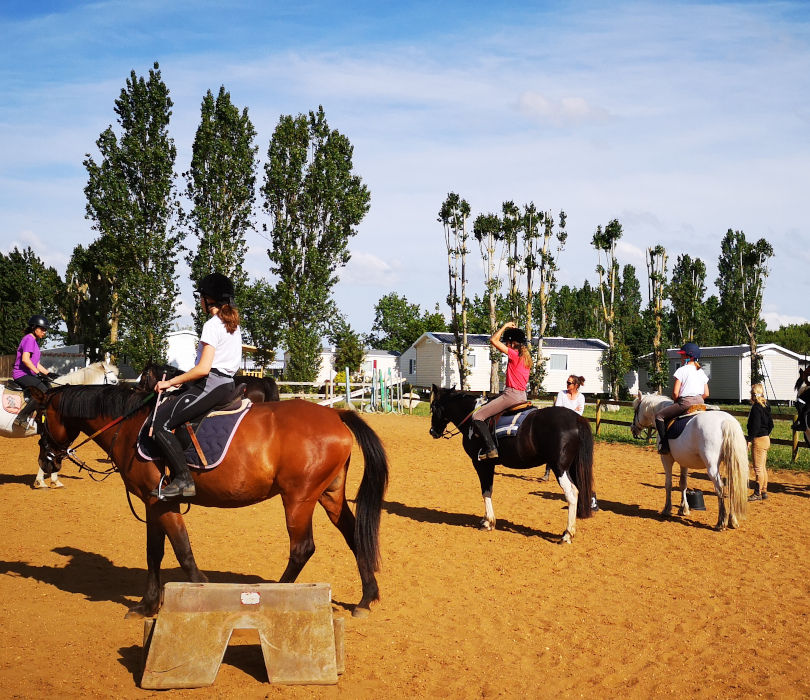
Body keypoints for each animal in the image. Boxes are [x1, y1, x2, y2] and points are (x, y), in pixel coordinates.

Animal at [33, 382, 392, 616]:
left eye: (38, 418)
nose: (46, 462)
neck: (132, 427)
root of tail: (336, 416)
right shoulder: (153, 503)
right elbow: (154, 554)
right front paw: (147, 605)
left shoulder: (164, 503)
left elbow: (183, 552)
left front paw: (199, 592)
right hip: (329, 496)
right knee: (354, 535)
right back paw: (367, 598)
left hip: (298, 499)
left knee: (302, 548)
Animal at [430, 386, 592, 544]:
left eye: (433, 406)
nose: (432, 432)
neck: (471, 417)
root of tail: (576, 417)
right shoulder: (490, 465)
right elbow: (489, 490)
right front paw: (486, 519)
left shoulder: (481, 464)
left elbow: (485, 491)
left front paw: (488, 522)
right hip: (570, 467)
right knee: (576, 492)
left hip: (559, 468)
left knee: (571, 494)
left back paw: (567, 535)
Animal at [628, 394, 748, 532]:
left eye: (635, 410)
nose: (632, 429)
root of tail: (725, 421)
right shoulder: (684, 462)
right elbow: (683, 484)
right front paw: (683, 508)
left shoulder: (666, 459)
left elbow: (668, 484)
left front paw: (667, 509)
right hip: (731, 464)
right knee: (733, 487)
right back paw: (732, 520)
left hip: (712, 467)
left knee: (720, 488)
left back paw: (721, 522)